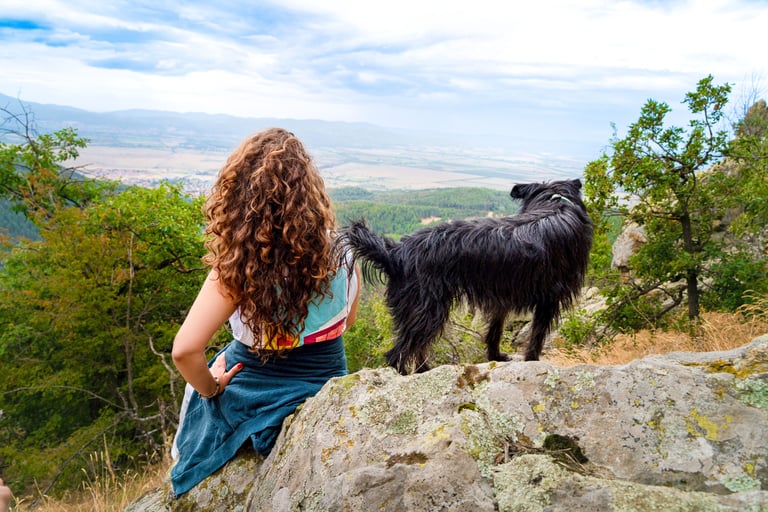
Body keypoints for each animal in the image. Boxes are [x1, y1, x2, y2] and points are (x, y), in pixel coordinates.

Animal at [338, 179, 593, 374]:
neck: (555, 202)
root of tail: (396, 252)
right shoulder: (549, 298)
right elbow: (537, 336)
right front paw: (532, 362)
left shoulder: (503, 296)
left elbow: (495, 330)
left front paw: (496, 356)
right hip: (427, 310)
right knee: (398, 353)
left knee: (414, 347)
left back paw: (425, 370)